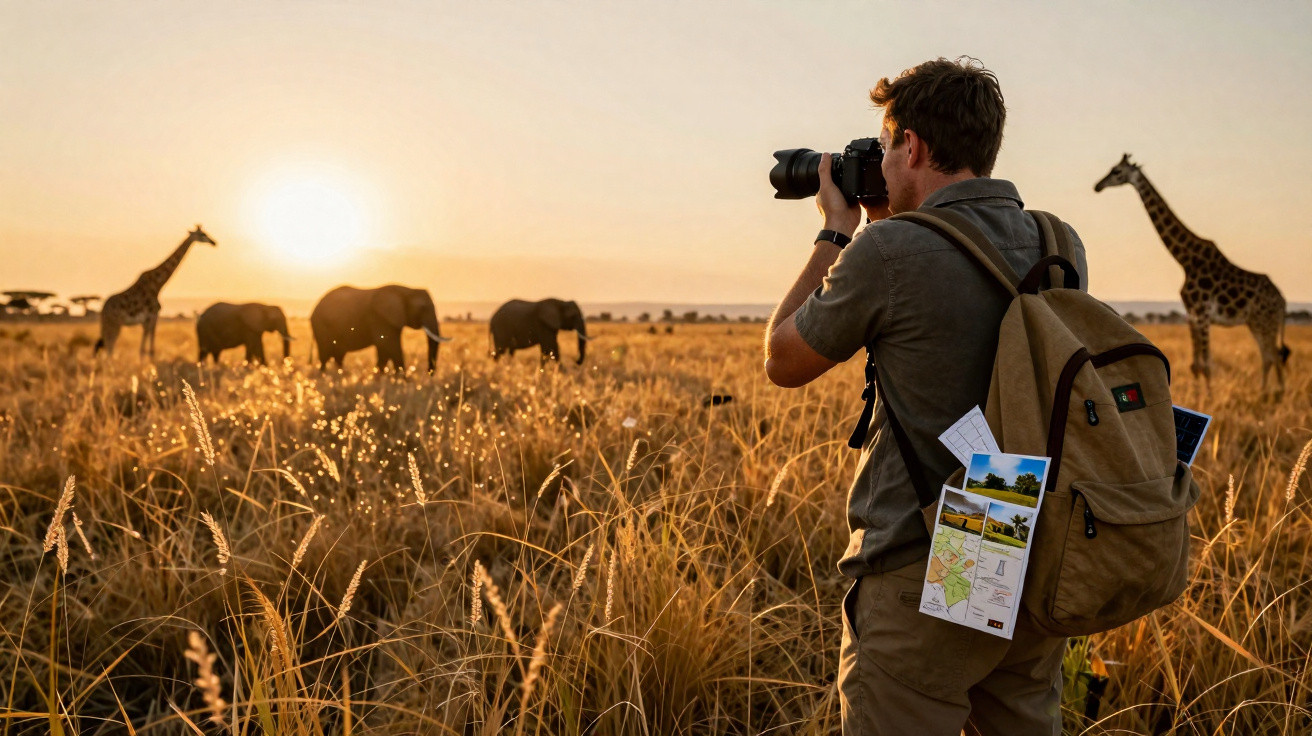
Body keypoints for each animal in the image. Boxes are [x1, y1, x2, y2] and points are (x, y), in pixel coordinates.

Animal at [310, 285, 450, 373]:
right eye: (422, 308)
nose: (429, 373)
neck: (405, 290)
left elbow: (385, 349)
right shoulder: (380, 317)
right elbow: (389, 345)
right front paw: (403, 382)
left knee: (338, 355)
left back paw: (339, 376)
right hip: (321, 326)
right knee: (325, 355)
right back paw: (326, 377)